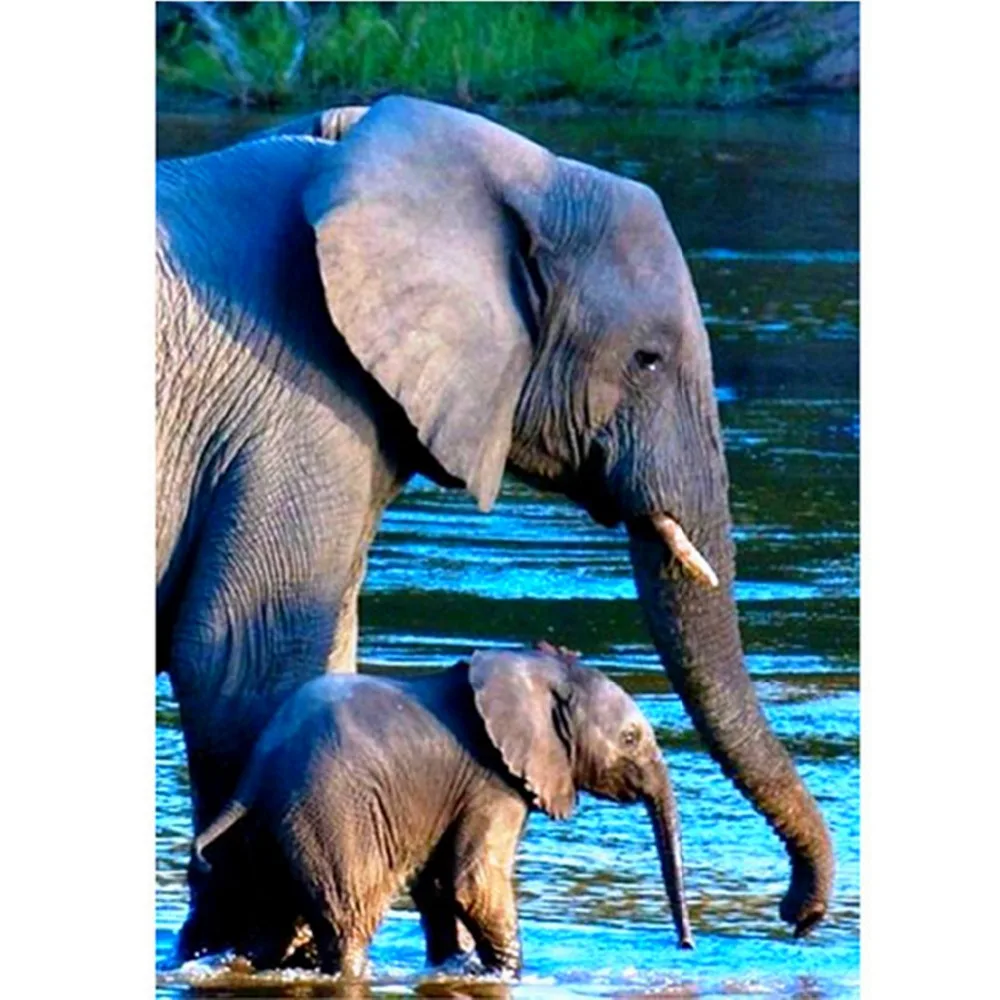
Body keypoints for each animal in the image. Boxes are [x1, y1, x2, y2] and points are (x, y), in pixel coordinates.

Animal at [189, 644, 694, 976]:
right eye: (630, 738)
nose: (686, 947)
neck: (535, 668)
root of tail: (256, 771)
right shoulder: (493, 784)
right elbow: (471, 884)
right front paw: (505, 975)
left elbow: (437, 887)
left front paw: (454, 965)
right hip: (329, 814)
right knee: (348, 920)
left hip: (273, 827)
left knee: (268, 926)